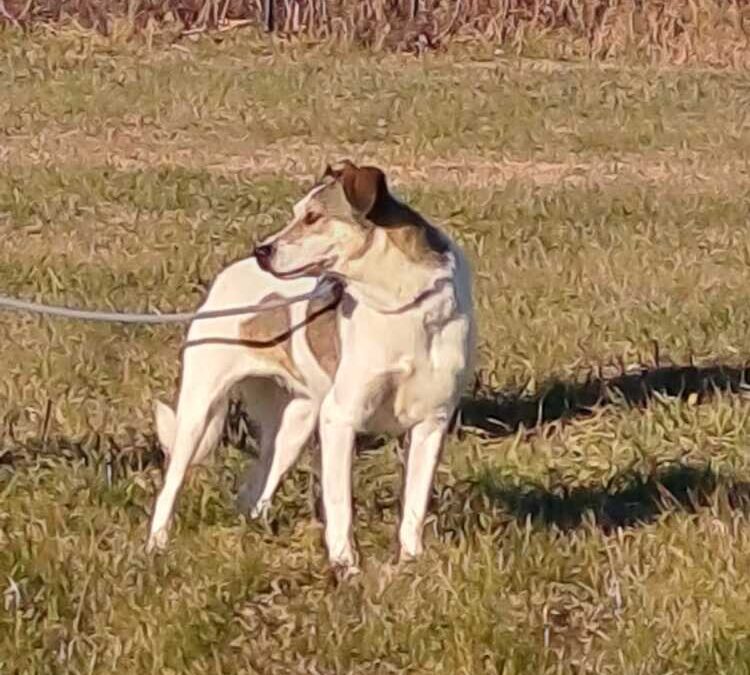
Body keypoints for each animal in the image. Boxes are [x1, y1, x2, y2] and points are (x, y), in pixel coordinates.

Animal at [147, 160, 476, 572]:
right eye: (296, 213)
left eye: (313, 217)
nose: (262, 250)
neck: (404, 304)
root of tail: (227, 275)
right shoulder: (340, 417)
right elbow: (340, 505)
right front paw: (345, 567)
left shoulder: (432, 422)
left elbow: (414, 508)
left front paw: (411, 563)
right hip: (200, 408)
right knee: (172, 483)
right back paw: (157, 545)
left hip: (294, 424)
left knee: (255, 490)